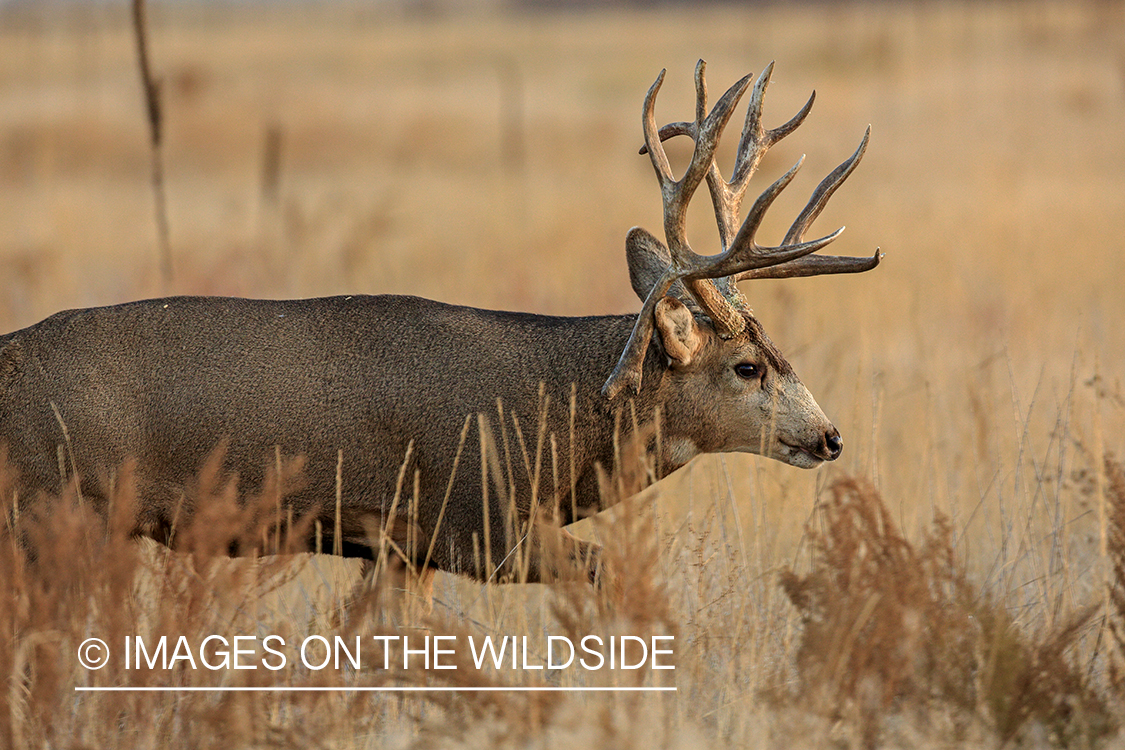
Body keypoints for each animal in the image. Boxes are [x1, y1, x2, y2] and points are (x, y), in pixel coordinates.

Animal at [0, 61, 879, 611]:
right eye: (746, 367)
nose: (830, 436)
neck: (549, 421)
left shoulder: (402, 549)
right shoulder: (475, 524)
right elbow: (606, 580)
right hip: (56, 514)